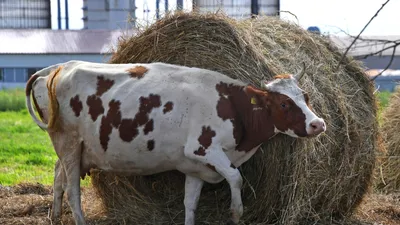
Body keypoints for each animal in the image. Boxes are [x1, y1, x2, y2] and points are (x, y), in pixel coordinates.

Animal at [25, 60, 324, 225]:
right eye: (284, 103)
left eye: (305, 96)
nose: (318, 124)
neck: (233, 108)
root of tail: (57, 68)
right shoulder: (204, 149)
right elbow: (236, 178)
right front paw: (236, 212)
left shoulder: (195, 168)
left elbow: (190, 204)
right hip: (68, 143)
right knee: (73, 191)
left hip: (73, 150)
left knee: (58, 177)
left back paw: (55, 216)